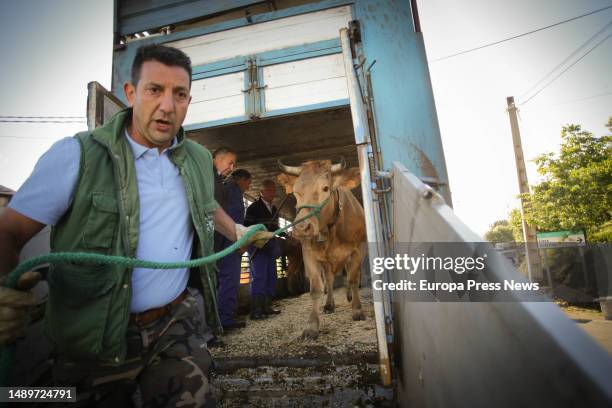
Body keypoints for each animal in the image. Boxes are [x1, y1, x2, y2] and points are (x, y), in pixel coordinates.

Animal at [278, 159, 368, 338]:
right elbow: (316, 289)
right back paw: (329, 304)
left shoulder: (356, 251)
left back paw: (349, 297)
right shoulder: (309, 255)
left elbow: (353, 280)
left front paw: (357, 310)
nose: (301, 228)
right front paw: (312, 326)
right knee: (330, 280)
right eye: (296, 191)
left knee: (349, 277)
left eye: (325, 188)